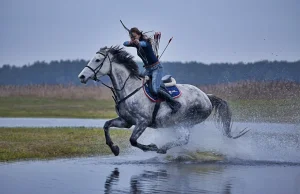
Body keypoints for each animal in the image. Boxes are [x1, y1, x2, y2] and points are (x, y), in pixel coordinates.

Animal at [77, 45, 248, 156]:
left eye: (97, 60)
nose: (82, 77)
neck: (129, 89)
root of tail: (207, 97)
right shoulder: (126, 121)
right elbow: (106, 125)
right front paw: (114, 148)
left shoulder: (142, 122)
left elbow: (133, 140)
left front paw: (151, 147)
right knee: (183, 139)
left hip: (185, 121)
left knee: (184, 139)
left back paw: (162, 148)